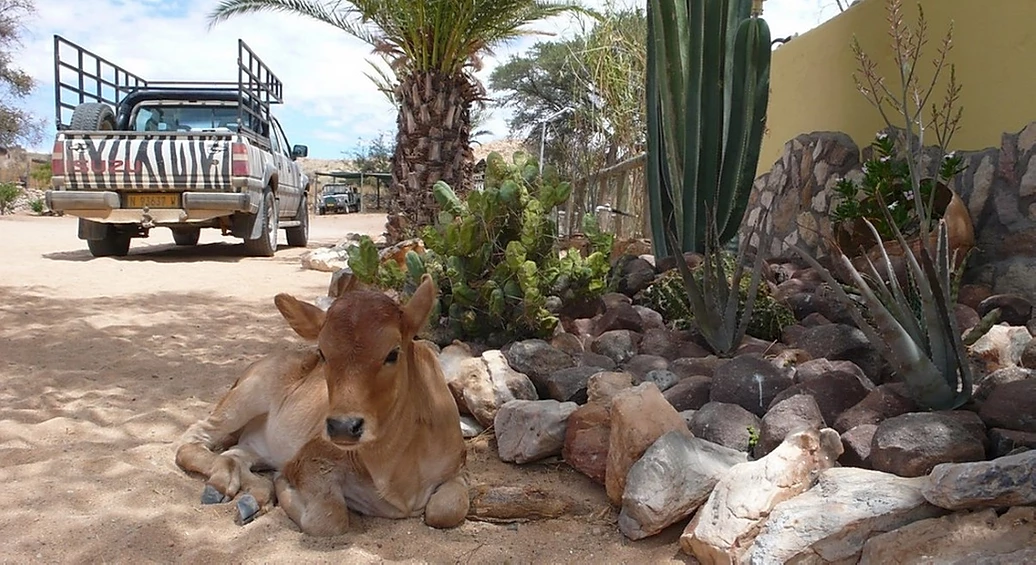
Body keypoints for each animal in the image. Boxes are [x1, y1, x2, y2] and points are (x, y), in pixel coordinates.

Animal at [177, 275, 470, 534]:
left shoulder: (457, 469)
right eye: (322, 353)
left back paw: (253, 496)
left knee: (234, 453)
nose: (343, 427)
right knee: (192, 438)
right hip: (245, 397)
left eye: (393, 352)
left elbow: (446, 510)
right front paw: (282, 484)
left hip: (256, 443)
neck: (394, 471)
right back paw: (221, 484)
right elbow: (328, 518)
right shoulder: (311, 458)